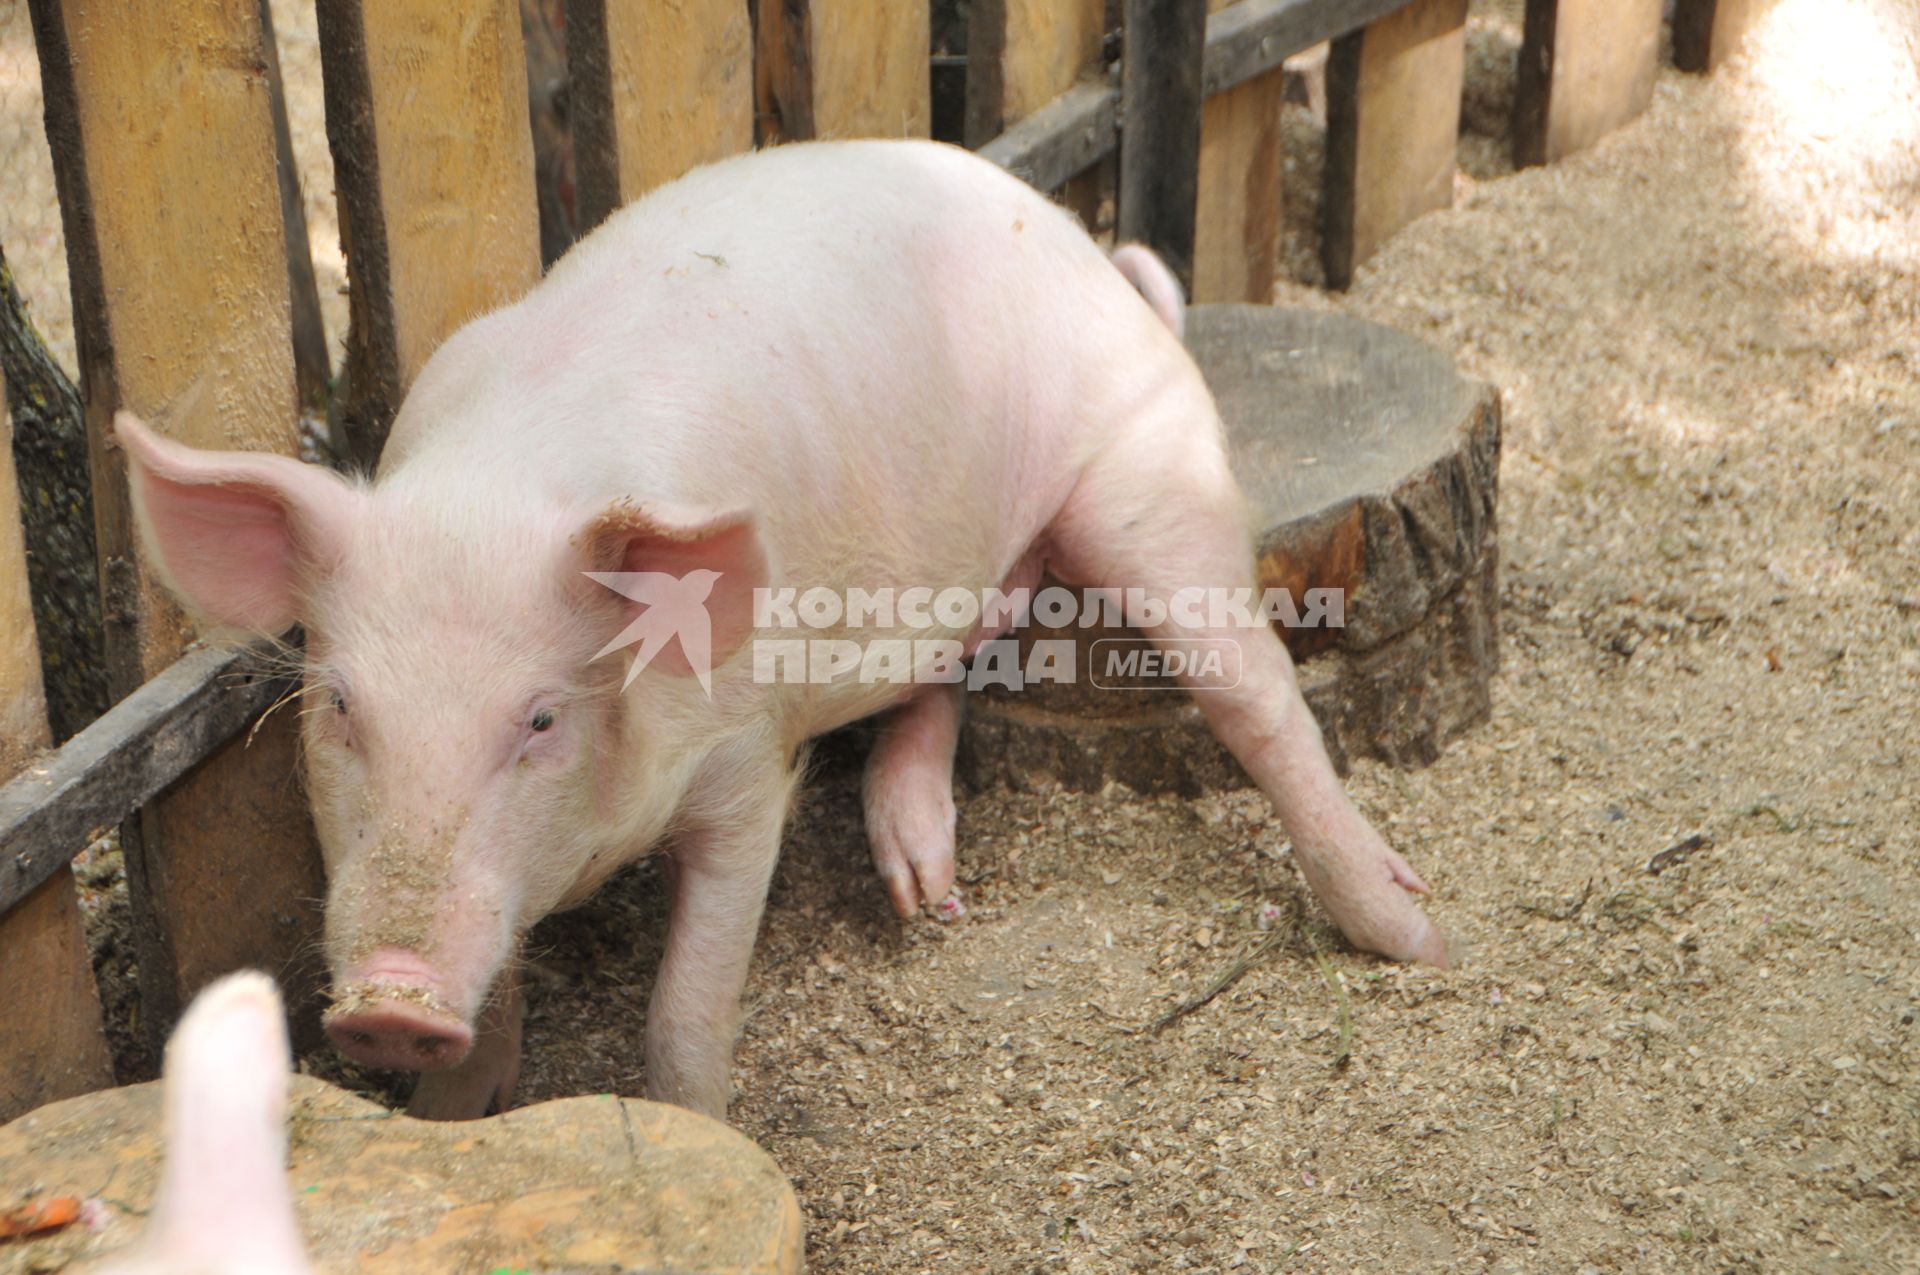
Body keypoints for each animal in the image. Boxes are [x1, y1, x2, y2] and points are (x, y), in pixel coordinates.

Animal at [120, 139, 1443, 1121]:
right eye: (342, 707)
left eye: (540, 718)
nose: (389, 1002)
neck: (506, 479)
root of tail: (1082, 247)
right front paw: (463, 1113)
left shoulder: (747, 760)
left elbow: (688, 1011)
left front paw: (702, 1127)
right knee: (949, 669)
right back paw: (924, 895)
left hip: (1146, 476)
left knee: (1254, 696)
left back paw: (1415, 935)